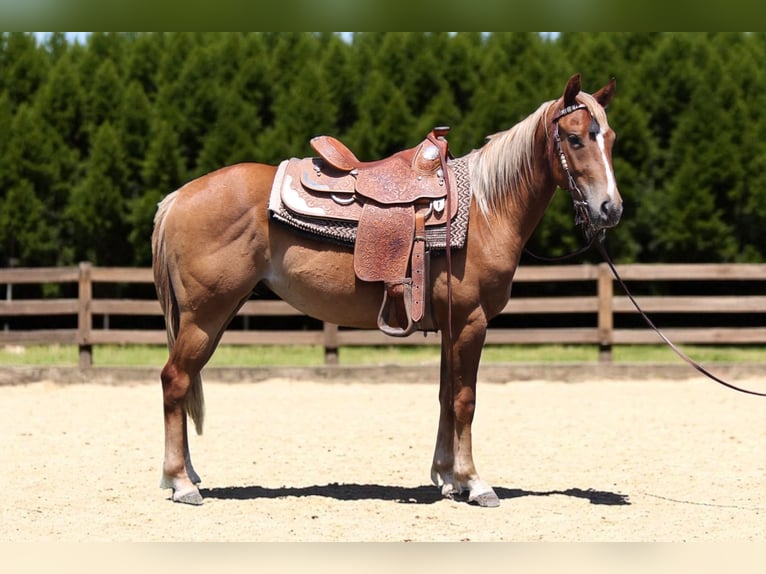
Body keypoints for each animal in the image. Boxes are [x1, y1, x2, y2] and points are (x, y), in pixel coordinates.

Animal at [151, 74, 622, 507]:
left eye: (611, 139)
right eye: (575, 138)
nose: (610, 208)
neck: (486, 211)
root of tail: (179, 196)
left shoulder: (450, 325)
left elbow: (445, 396)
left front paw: (447, 477)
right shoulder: (471, 321)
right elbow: (465, 400)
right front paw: (475, 482)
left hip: (216, 315)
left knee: (186, 382)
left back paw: (188, 475)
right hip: (205, 316)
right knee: (175, 379)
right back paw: (181, 482)